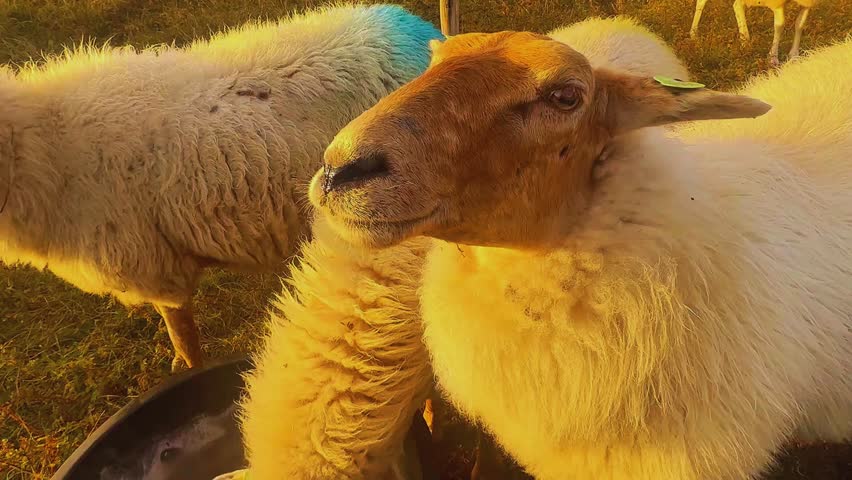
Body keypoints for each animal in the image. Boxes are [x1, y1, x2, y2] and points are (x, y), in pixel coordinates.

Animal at [690, 0, 820, 66]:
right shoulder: (776, 4)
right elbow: (780, 25)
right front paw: (773, 58)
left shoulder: (807, 4)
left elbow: (800, 24)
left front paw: (794, 56)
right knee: (701, 2)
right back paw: (693, 34)